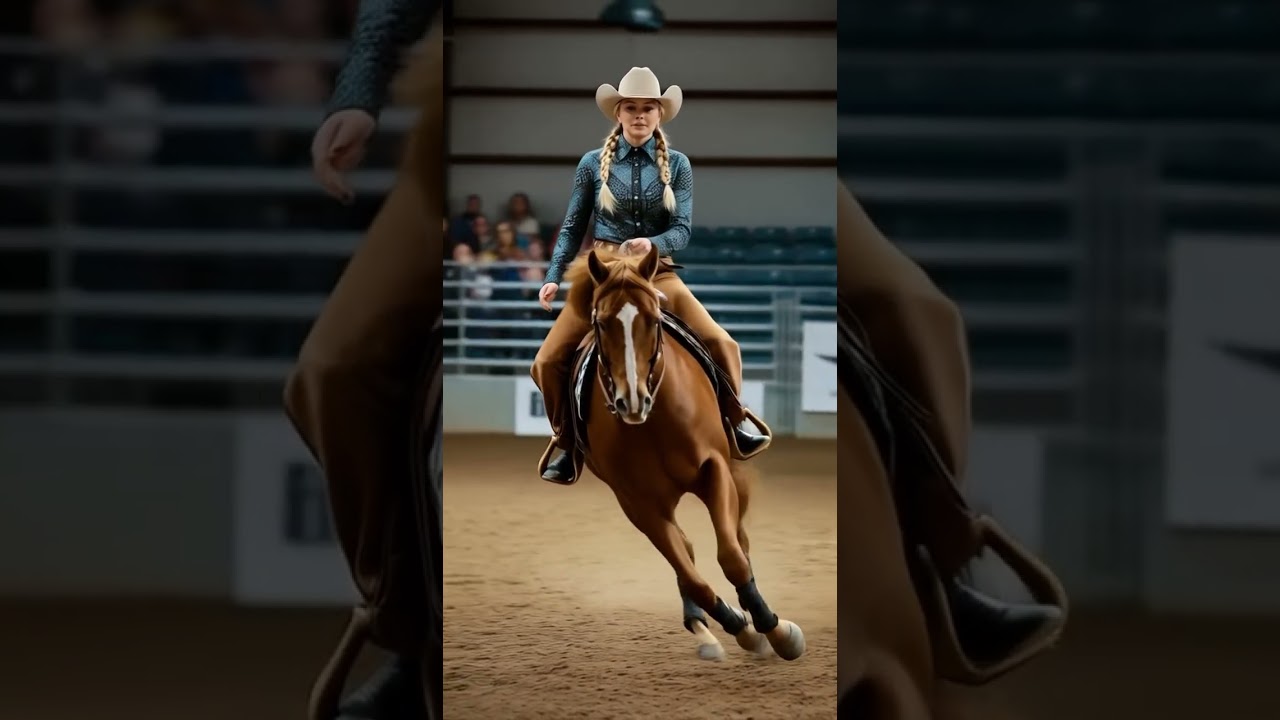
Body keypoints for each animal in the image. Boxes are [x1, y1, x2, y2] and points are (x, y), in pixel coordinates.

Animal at [555, 245, 807, 663]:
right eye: (602, 323)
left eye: (653, 319)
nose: (632, 401)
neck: (655, 422)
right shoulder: (639, 504)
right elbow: (691, 574)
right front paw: (741, 628)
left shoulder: (716, 469)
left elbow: (732, 556)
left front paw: (776, 631)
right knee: (686, 553)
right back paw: (704, 627)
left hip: (735, 475)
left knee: (739, 540)